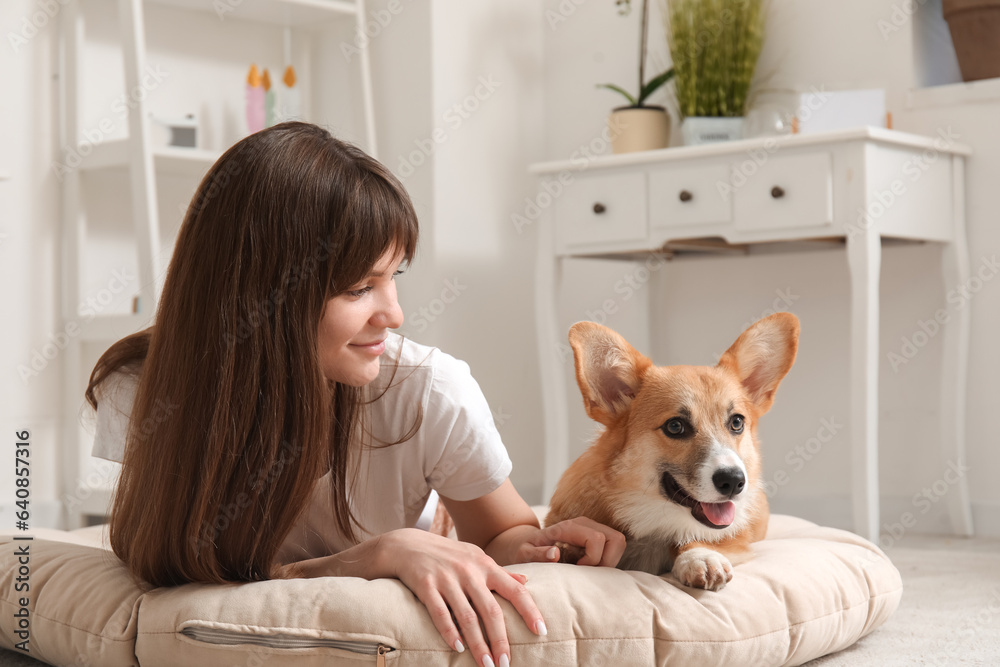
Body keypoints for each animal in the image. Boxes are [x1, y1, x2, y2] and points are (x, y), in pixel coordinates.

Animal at [544, 314, 800, 588]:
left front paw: (700, 557)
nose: (734, 482)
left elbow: (701, 539)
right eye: (675, 426)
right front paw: (565, 550)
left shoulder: (734, 537)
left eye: (737, 422)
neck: (653, 518)